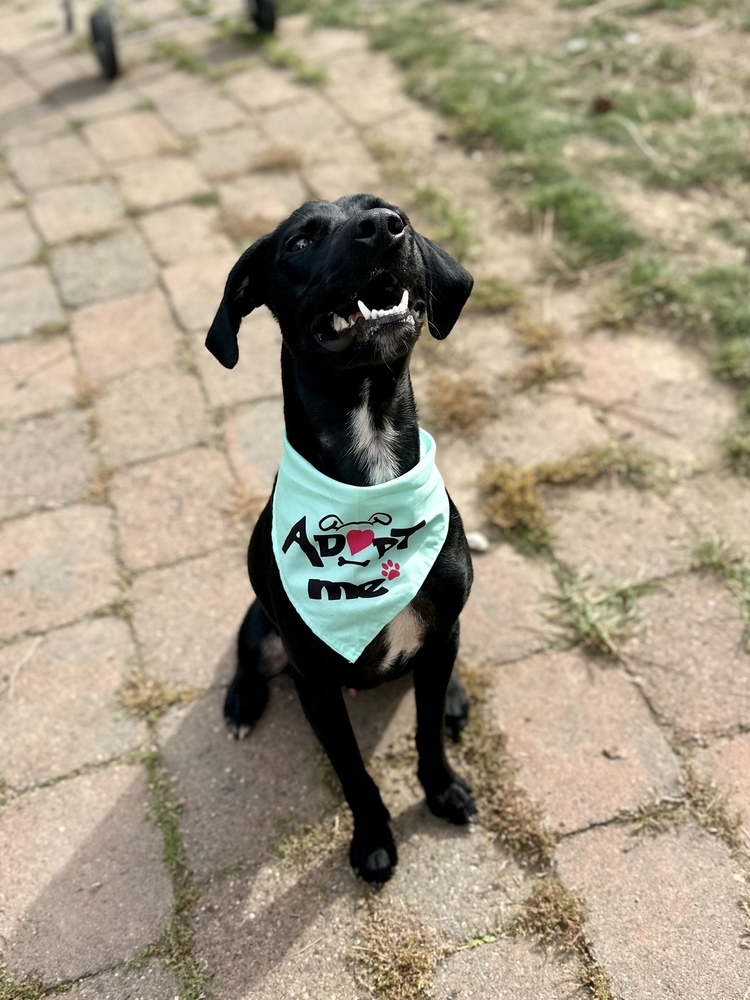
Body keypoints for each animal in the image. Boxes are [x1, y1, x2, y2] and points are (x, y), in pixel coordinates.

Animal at [204, 193, 476, 884]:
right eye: (299, 242)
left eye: (391, 210)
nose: (385, 229)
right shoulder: (317, 685)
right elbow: (354, 773)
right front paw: (374, 838)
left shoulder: (439, 636)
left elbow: (427, 730)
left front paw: (442, 789)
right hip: (261, 625)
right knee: (249, 655)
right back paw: (242, 704)